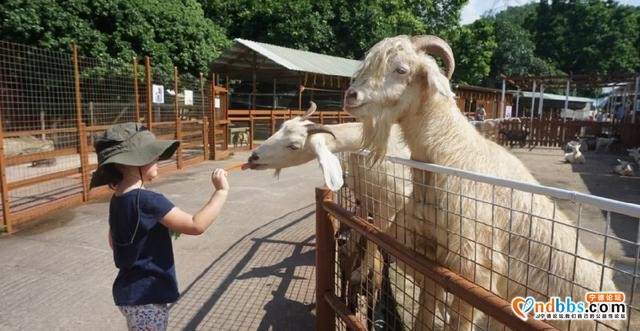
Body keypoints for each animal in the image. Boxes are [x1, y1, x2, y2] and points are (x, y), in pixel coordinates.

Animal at [344, 35, 620, 330]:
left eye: (401, 69)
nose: (351, 95)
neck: (451, 152)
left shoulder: (474, 265)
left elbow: (459, 318)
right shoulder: (428, 251)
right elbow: (426, 308)